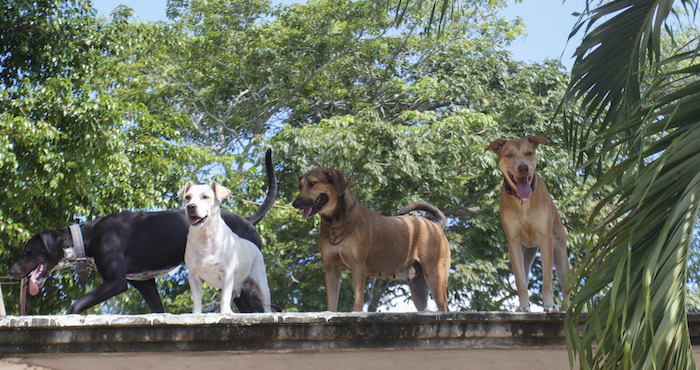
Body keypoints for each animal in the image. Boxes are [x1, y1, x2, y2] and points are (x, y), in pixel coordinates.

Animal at [178, 181, 270, 314]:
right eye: (187, 197)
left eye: (205, 197)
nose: (190, 206)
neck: (205, 237)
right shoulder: (193, 275)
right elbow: (197, 299)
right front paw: (196, 313)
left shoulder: (227, 273)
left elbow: (224, 297)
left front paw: (225, 312)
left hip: (261, 283)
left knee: (267, 305)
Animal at [292, 168, 452, 312]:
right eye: (299, 186)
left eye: (313, 183)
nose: (295, 204)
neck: (336, 222)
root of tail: (436, 225)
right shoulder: (331, 268)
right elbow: (331, 304)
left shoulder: (358, 266)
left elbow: (357, 301)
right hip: (418, 286)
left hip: (436, 277)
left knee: (445, 308)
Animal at [486, 136, 568, 312]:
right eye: (509, 155)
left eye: (529, 153)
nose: (523, 167)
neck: (523, 202)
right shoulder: (514, 242)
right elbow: (520, 281)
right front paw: (523, 307)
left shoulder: (545, 239)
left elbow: (547, 279)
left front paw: (549, 305)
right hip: (527, 253)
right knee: (523, 273)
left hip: (560, 252)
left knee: (567, 286)